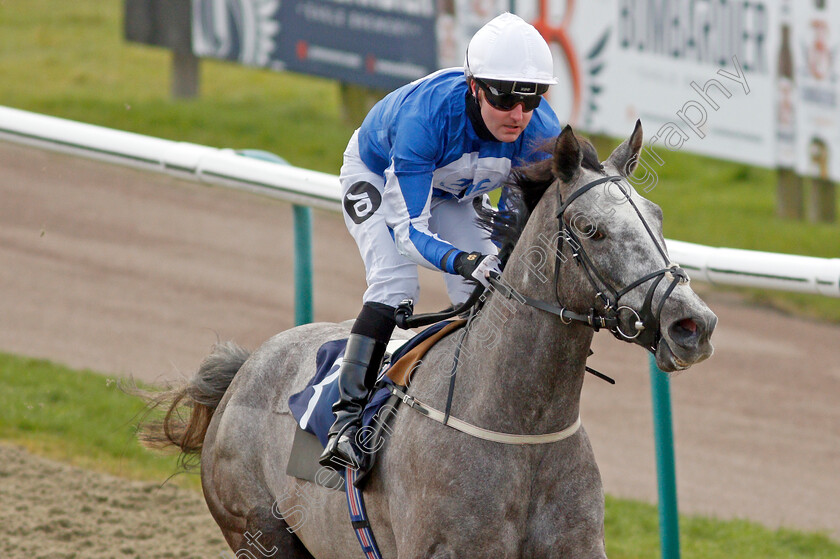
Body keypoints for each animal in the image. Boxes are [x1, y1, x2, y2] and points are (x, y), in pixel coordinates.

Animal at [143, 123, 716, 559]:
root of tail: (246, 368)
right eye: (592, 229)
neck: (518, 426)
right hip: (258, 531)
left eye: (657, 216)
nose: (694, 325)